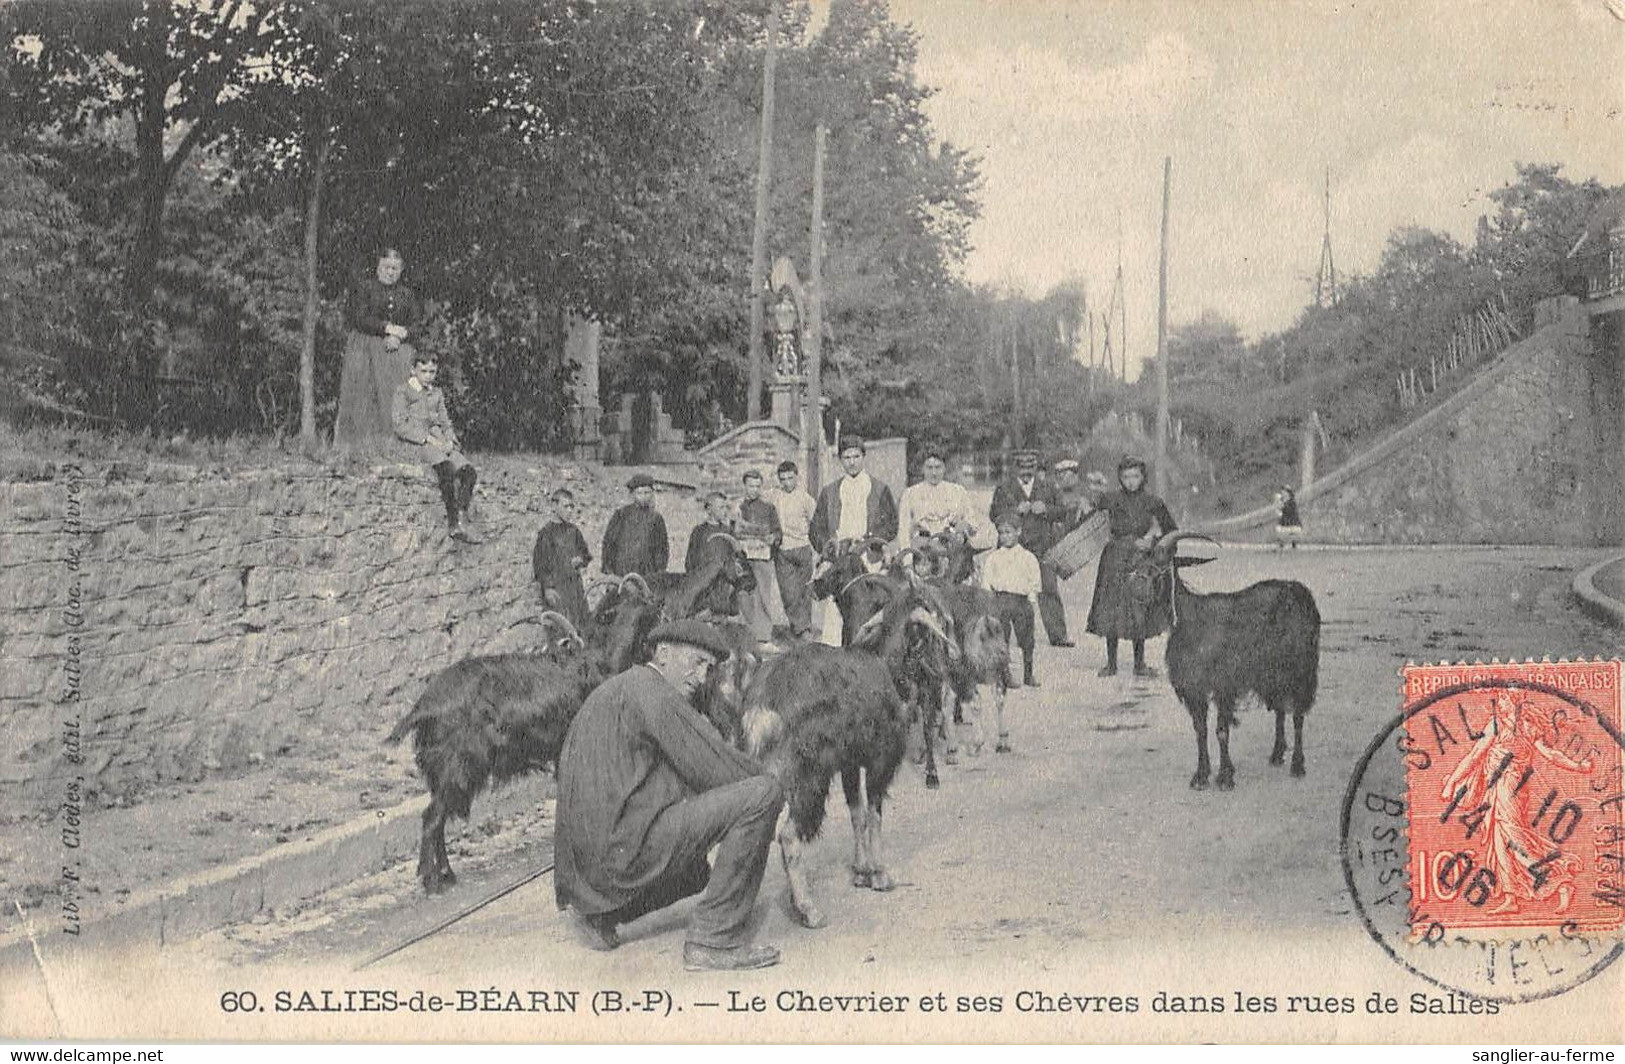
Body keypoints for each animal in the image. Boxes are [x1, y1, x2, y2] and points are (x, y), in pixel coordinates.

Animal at [1150, 532, 1326, 789]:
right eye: (1143, 560)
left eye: (1165, 564)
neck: (1191, 621)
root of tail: (1300, 590)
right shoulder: (1195, 689)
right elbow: (1200, 730)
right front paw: (1201, 775)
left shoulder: (1224, 685)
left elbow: (1222, 730)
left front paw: (1225, 776)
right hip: (1273, 674)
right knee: (1281, 710)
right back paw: (1276, 754)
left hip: (1300, 668)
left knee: (1297, 716)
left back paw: (1297, 765)